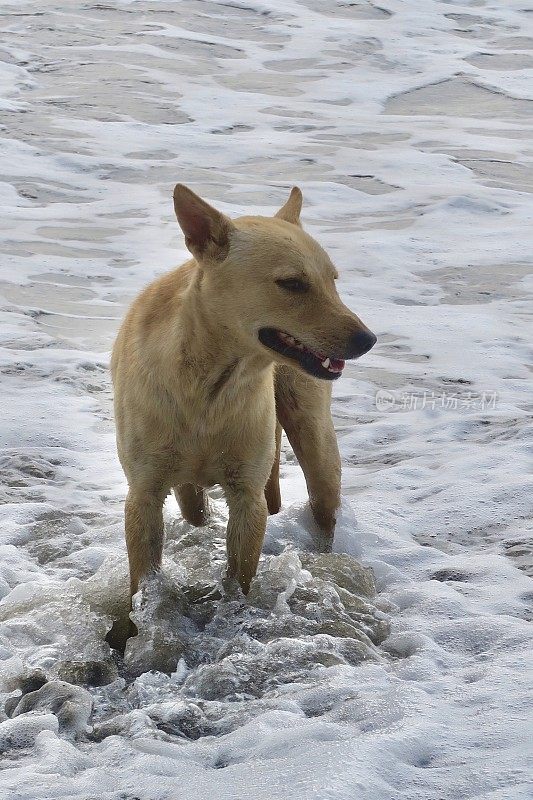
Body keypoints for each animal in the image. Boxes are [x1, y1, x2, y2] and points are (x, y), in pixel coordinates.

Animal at [112, 183, 376, 608]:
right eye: (293, 283)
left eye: (333, 281)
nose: (368, 340)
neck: (211, 384)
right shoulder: (143, 494)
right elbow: (144, 575)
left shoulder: (248, 497)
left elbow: (240, 575)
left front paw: (235, 605)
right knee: (192, 504)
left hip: (315, 442)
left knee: (322, 503)